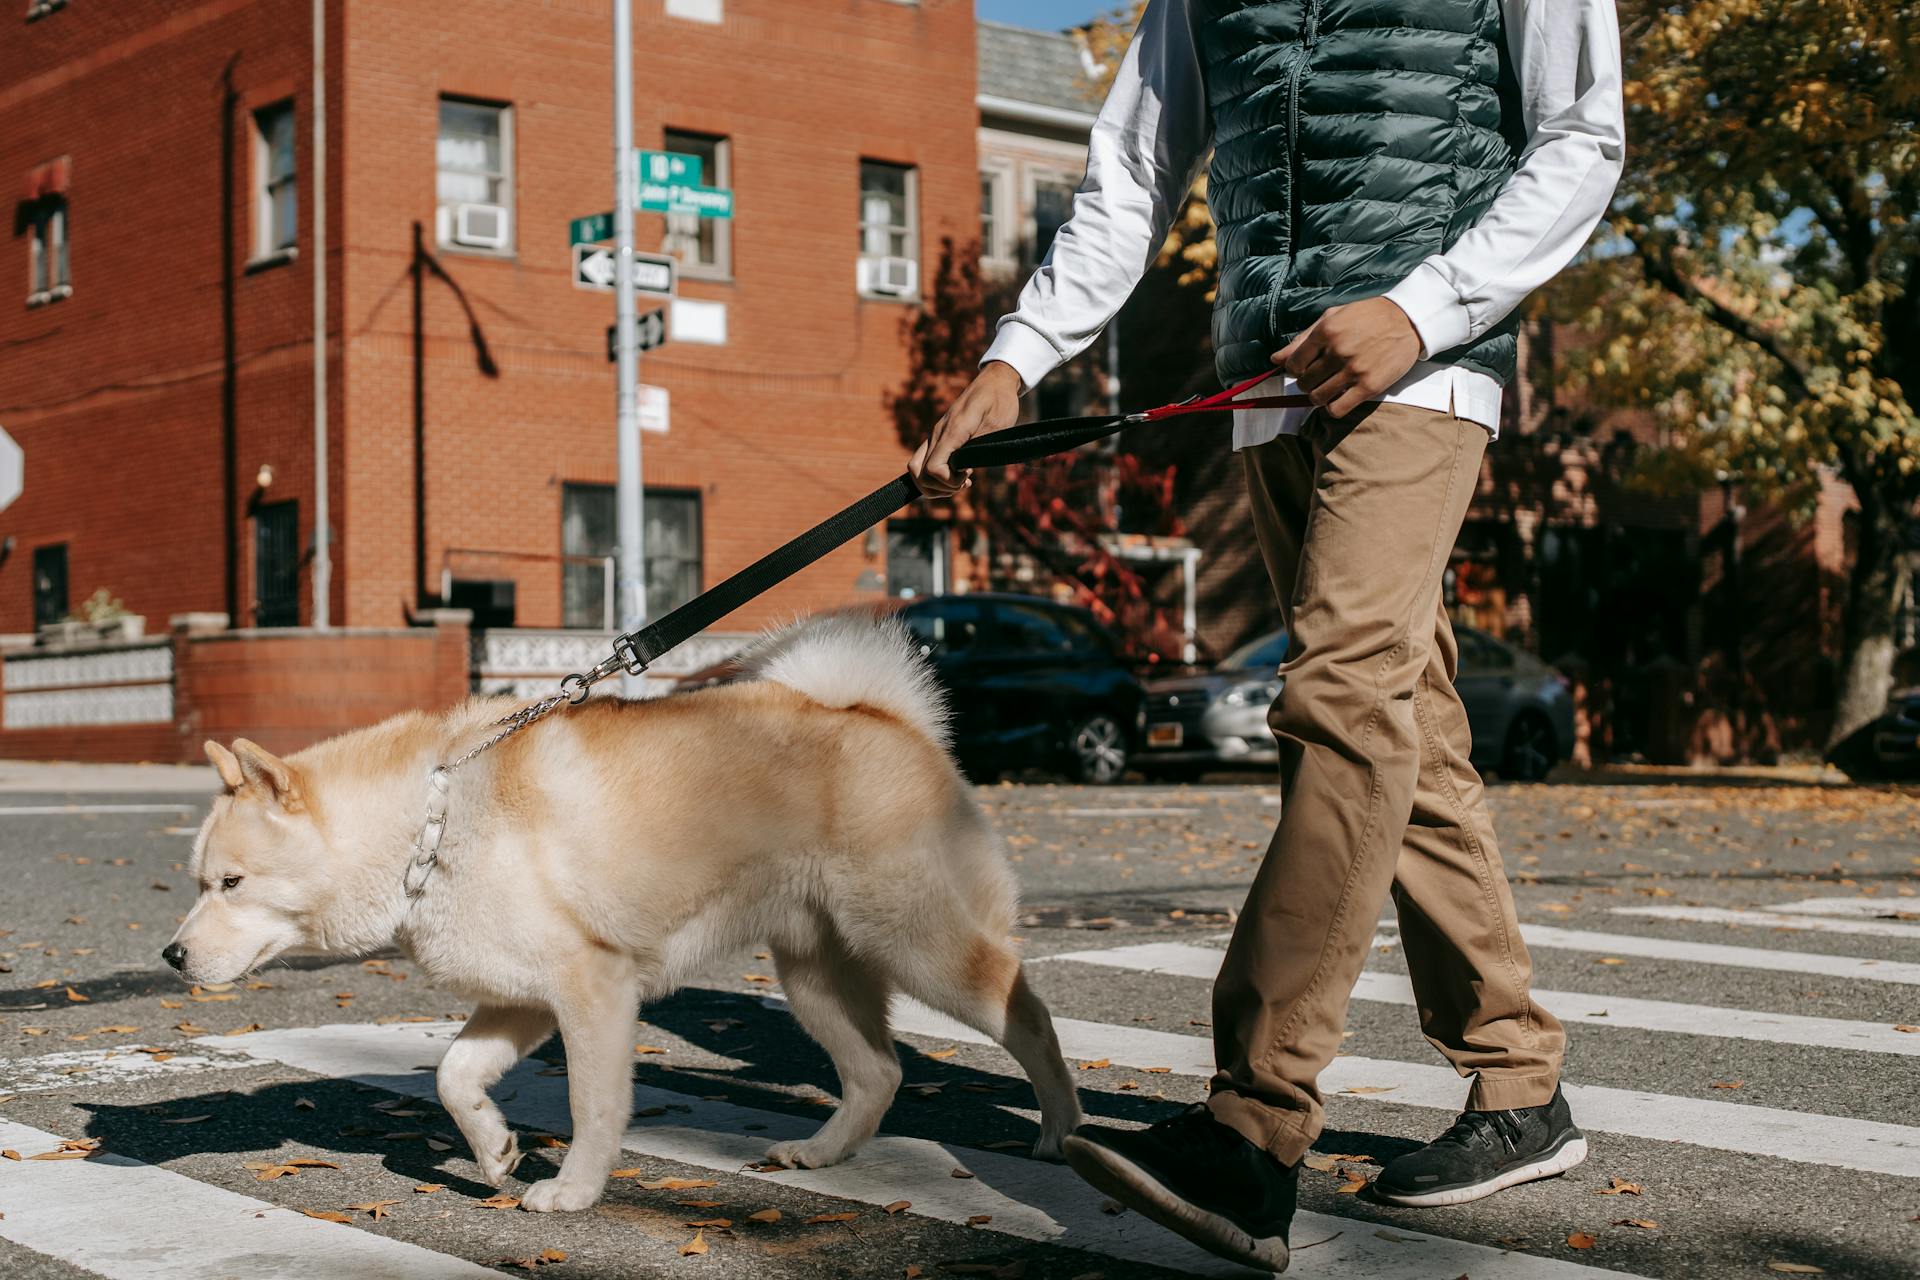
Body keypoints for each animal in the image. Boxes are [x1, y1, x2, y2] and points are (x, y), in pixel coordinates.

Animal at [165, 614, 1082, 1220]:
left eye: (232, 883)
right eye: (200, 881)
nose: (172, 957)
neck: (431, 821)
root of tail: (884, 717)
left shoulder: (594, 991)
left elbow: (592, 1108)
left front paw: (574, 1190)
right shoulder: (522, 998)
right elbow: (454, 1076)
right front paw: (493, 1148)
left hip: (918, 946)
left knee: (1027, 1015)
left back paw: (1064, 1131)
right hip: (814, 975)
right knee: (878, 1074)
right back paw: (821, 1153)